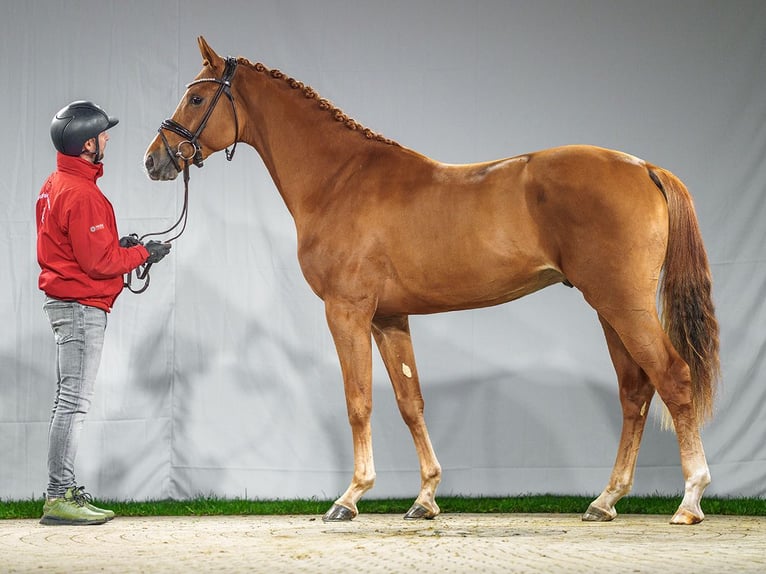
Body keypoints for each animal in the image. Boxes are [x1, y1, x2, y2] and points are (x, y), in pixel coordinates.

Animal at [142, 37, 720, 528]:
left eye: (196, 97)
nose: (154, 160)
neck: (339, 179)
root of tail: (643, 166)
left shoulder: (347, 310)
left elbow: (358, 400)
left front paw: (350, 497)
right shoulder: (389, 318)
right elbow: (409, 402)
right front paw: (425, 498)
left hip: (624, 304)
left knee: (673, 378)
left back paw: (690, 499)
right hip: (608, 308)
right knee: (635, 390)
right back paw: (605, 500)